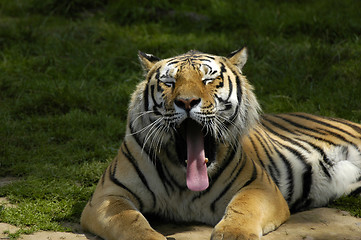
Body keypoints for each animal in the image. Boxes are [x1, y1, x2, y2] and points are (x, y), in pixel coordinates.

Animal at [81, 48, 360, 240]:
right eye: (169, 83)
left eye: (208, 80)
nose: (186, 101)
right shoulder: (109, 194)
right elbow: (130, 220)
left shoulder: (260, 187)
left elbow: (242, 209)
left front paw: (234, 234)